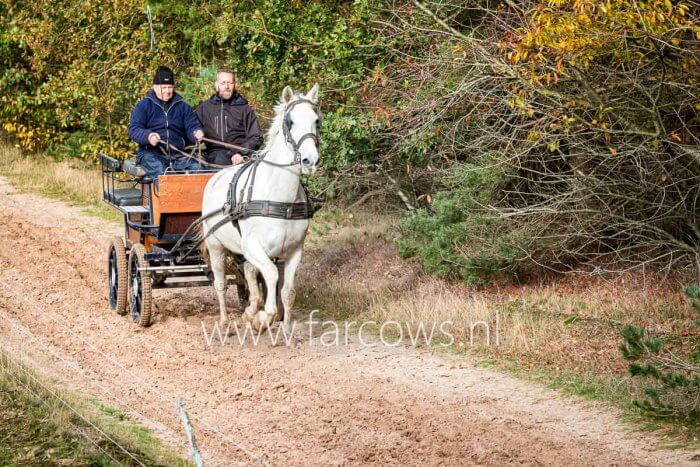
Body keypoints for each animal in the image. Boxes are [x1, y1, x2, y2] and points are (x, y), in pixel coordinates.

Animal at [200, 84, 320, 332]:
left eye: (316, 120)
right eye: (290, 122)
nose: (310, 161)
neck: (280, 198)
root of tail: (214, 177)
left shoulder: (295, 251)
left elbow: (288, 291)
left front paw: (284, 328)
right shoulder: (253, 247)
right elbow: (272, 276)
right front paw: (265, 316)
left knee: (248, 271)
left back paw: (250, 309)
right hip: (216, 246)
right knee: (220, 283)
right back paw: (225, 321)